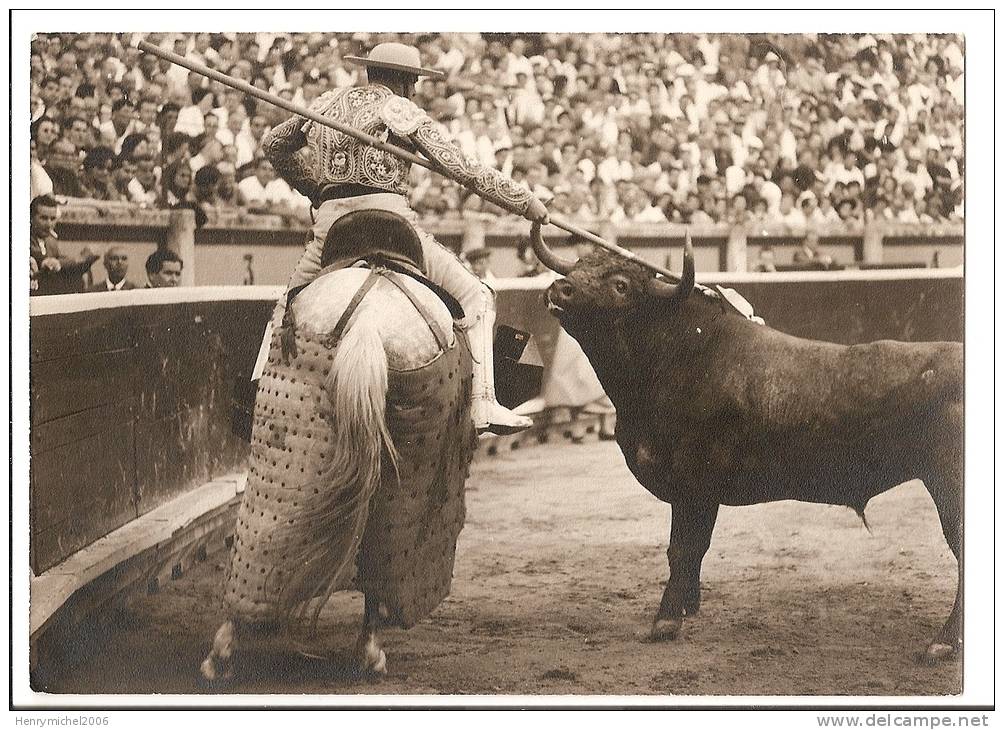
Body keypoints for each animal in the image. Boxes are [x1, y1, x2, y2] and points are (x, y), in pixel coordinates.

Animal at [534, 222, 963, 662]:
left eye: (620, 285)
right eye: (579, 265)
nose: (560, 288)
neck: (676, 355)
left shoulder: (693, 488)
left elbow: (683, 548)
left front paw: (666, 621)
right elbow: (689, 551)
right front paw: (688, 605)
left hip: (950, 487)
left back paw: (943, 643)